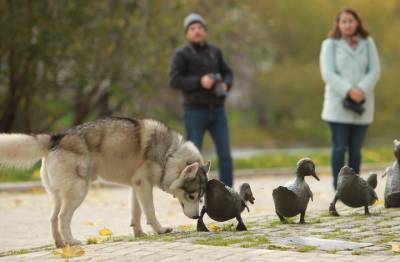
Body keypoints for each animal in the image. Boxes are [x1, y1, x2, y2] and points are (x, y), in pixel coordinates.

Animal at [0, 117, 209, 248]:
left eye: (200, 198)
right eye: (191, 196)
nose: (195, 217)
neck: (169, 154)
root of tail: (57, 137)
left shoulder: (136, 187)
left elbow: (136, 215)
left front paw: (139, 234)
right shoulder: (144, 186)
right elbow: (150, 212)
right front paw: (160, 230)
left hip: (58, 196)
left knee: (53, 218)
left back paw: (60, 244)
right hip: (79, 192)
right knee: (62, 218)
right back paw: (72, 242)